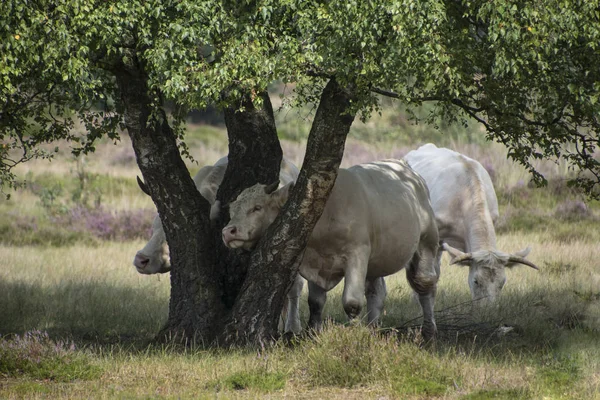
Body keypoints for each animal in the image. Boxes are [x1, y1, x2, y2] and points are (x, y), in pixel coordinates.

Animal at [220, 159, 440, 340]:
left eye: (257, 207)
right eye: (232, 210)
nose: (228, 231)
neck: (325, 215)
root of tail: (408, 170)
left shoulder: (357, 255)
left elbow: (352, 302)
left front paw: (353, 333)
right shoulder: (314, 261)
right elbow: (315, 302)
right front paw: (312, 334)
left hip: (427, 242)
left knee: (425, 284)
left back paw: (429, 331)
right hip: (375, 261)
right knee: (376, 293)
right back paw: (372, 329)